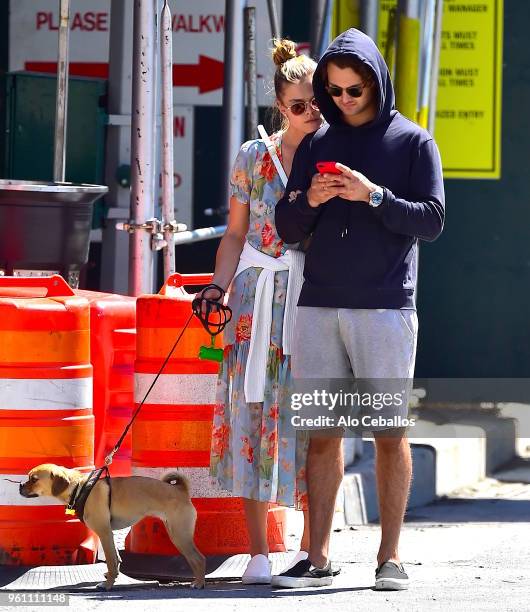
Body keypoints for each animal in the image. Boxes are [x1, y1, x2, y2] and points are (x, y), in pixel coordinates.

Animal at [19, 466, 204, 592]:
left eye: (34, 479)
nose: (20, 485)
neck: (78, 487)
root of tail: (180, 491)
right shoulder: (110, 535)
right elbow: (115, 559)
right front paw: (111, 578)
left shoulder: (104, 533)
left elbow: (110, 561)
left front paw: (107, 585)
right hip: (177, 534)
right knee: (194, 559)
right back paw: (197, 581)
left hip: (180, 535)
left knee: (199, 558)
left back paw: (199, 583)